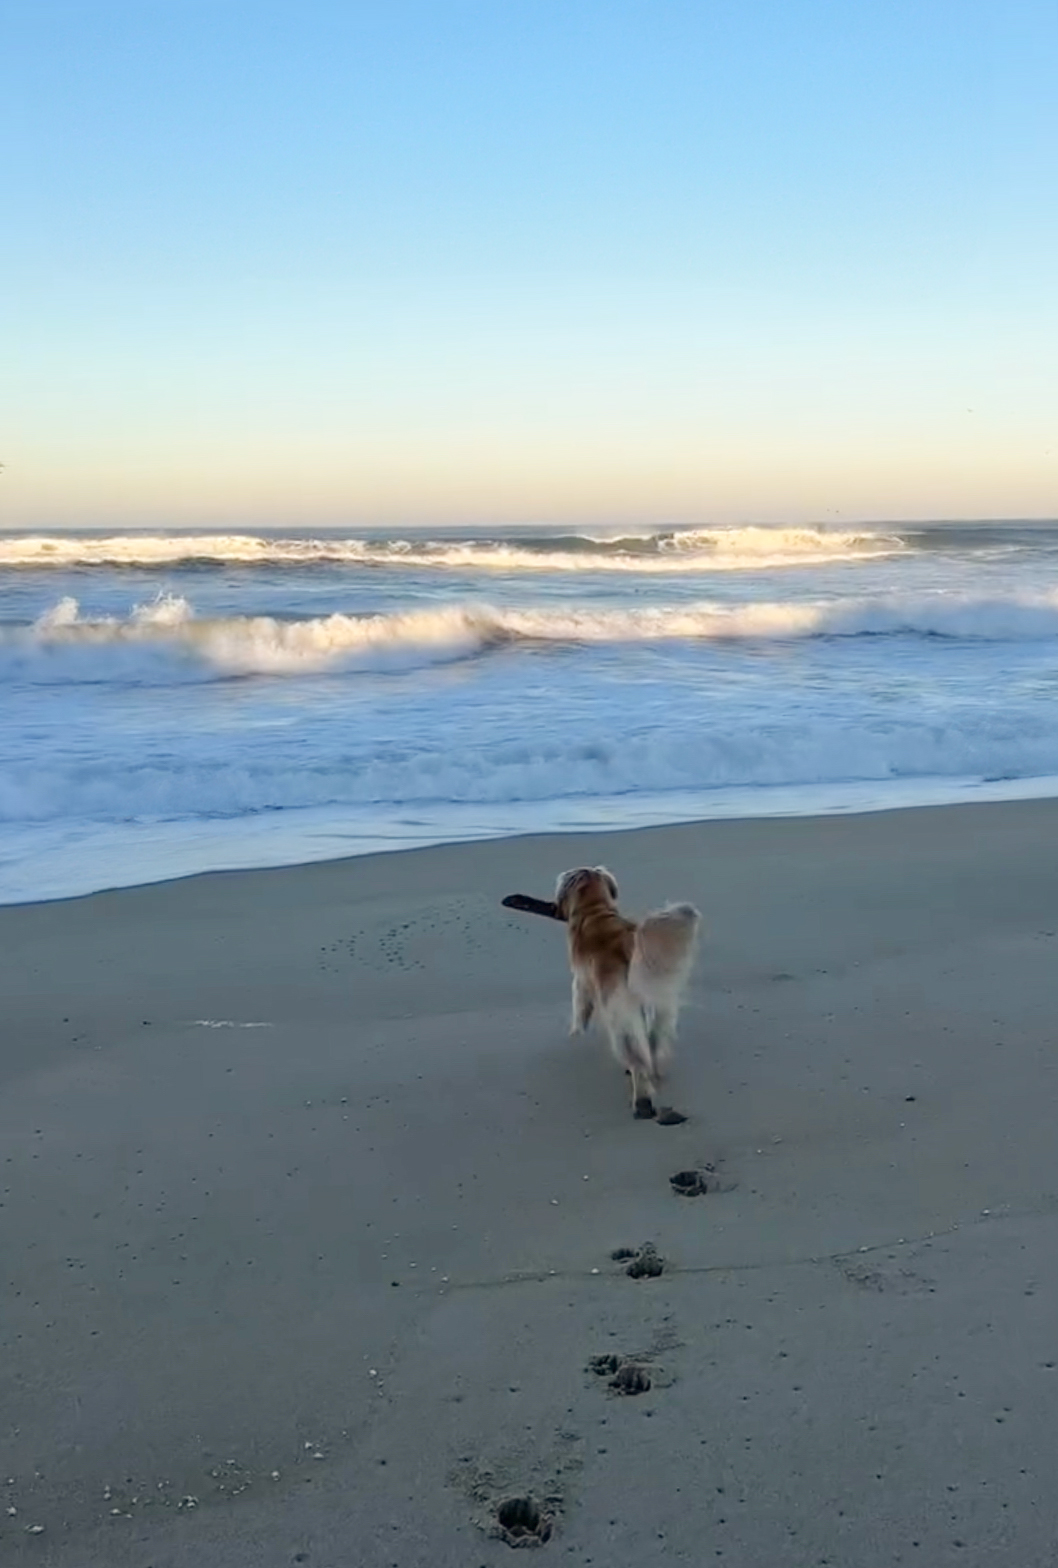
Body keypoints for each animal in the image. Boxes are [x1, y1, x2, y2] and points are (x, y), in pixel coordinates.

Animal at [554, 871, 702, 1116]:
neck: (595, 910)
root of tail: (628, 945)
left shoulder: (582, 980)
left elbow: (579, 1004)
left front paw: (576, 1031)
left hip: (620, 1016)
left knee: (637, 1060)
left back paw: (642, 1101)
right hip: (660, 1004)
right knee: (653, 1040)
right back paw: (655, 1073)